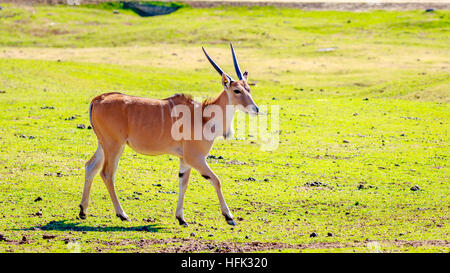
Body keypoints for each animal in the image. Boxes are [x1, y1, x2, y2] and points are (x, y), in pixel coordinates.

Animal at [79, 43, 258, 225]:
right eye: (236, 90)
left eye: (248, 89)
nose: (255, 109)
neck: (203, 115)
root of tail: (97, 100)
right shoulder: (195, 157)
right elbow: (216, 180)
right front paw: (229, 216)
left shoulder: (184, 160)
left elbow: (183, 183)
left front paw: (181, 218)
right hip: (114, 146)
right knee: (107, 173)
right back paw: (122, 214)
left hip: (104, 145)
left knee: (90, 167)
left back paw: (83, 211)